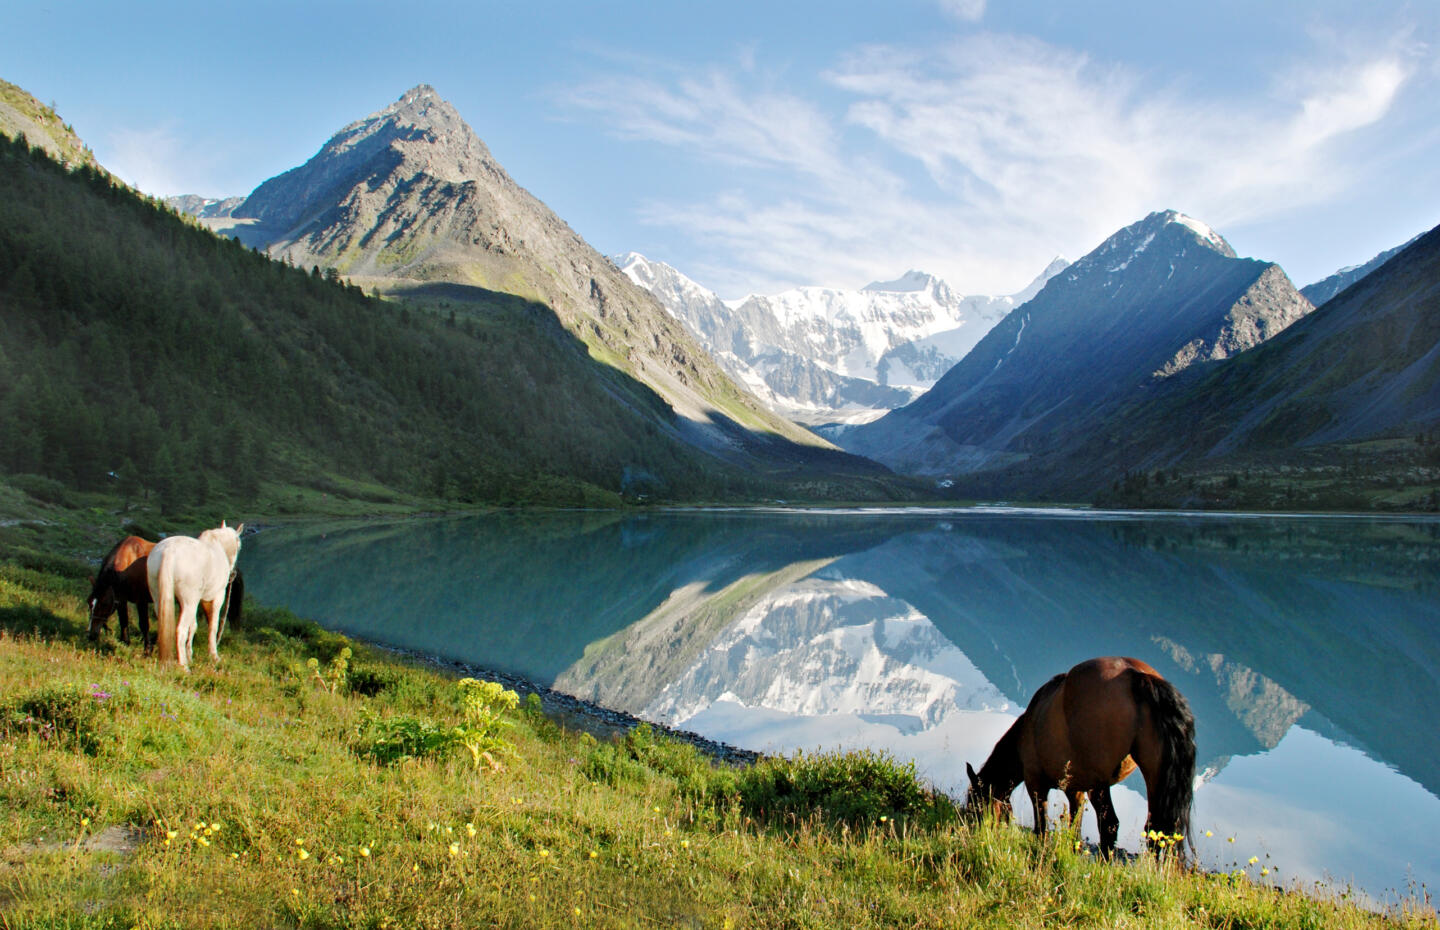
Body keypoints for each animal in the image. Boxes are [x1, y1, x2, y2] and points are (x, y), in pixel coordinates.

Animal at [147, 524, 243, 670]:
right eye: (239, 546)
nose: (233, 574)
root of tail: (169, 551)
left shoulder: (193, 602)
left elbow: (193, 626)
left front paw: (190, 656)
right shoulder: (216, 598)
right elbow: (213, 626)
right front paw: (214, 656)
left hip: (161, 600)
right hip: (189, 603)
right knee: (180, 630)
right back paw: (184, 667)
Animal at [967, 656, 1192, 858]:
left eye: (975, 803)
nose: (973, 829)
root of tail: (1136, 676)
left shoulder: (1035, 783)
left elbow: (1041, 827)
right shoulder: (1075, 791)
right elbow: (1075, 827)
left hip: (1099, 782)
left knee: (1110, 824)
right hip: (1154, 774)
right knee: (1158, 830)